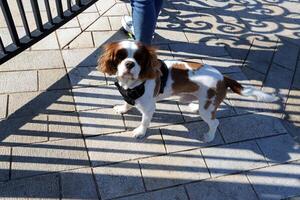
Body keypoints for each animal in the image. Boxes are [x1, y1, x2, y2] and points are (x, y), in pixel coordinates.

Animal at [97, 39, 278, 141]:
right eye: (120, 56)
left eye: (139, 59)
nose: (129, 64)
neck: (132, 84)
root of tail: (223, 77)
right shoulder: (129, 95)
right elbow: (127, 103)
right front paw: (123, 108)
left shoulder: (149, 108)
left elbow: (144, 122)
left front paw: (140, 132)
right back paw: (194, 107)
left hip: (208, 109)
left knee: (215, 122)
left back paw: (209, 137)